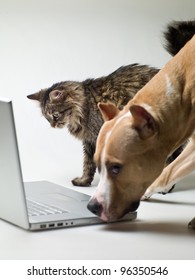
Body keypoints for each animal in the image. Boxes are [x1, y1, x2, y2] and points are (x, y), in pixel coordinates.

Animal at [27, 63, 184, 186]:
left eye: (55, 115)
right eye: (47, 118)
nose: (53, 125)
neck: (84, 106)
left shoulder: (99, 136)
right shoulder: (89, 141)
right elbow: (88, 164)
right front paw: (84, 181)